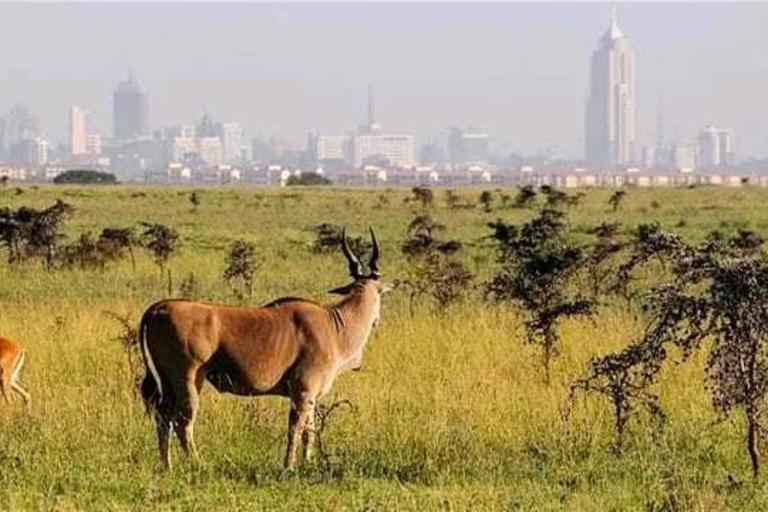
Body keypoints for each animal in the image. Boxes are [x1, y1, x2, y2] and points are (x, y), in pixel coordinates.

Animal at [139, 229, 392, 472]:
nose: (377, 320)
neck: (335, 325)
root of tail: (157, 308)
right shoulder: (303, 392)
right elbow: (296, 429)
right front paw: (288, 466)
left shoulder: (310, 398)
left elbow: (309, 432)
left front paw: (307, 463)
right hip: (189, 380)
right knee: (182, 422)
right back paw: (199, 465)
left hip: (169, 384)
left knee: (163, 418)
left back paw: (167, 466)